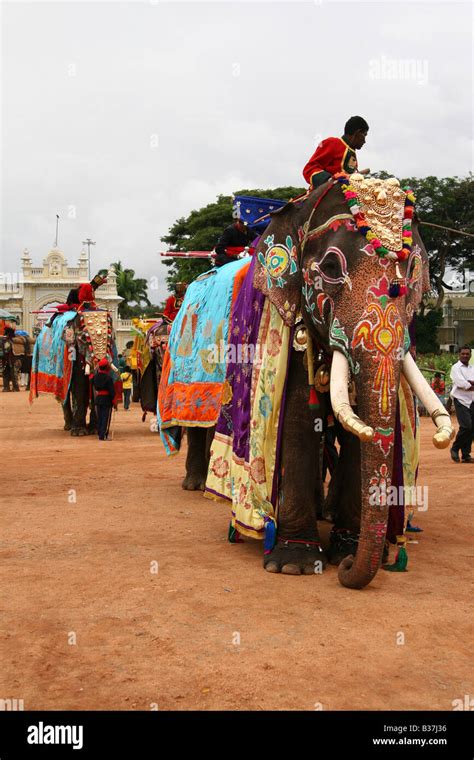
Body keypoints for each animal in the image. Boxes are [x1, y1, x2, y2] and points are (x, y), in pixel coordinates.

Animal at [30, 304, 121, 434]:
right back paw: (69, 427)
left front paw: (93, 430)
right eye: (83, 338)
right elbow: (79, 384)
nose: (104, 432)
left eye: (110, 338)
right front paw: (79, 432)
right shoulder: (73, 351)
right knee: (65, 394)